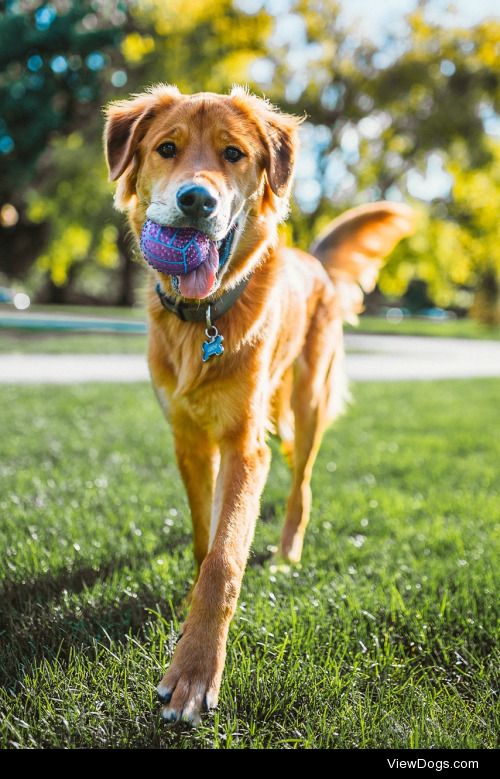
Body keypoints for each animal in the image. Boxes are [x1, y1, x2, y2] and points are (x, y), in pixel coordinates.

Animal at [102, 85, 414, 724]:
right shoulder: (189, 436)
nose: (196, 200)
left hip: (306, 404)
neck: (204, 320)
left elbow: (225, 559)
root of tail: (313, 261)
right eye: (167, 148)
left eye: (233, 154)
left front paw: (194, 672)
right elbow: (206, 532)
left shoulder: (246, 445)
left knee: (303, 484)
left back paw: (289, 547)